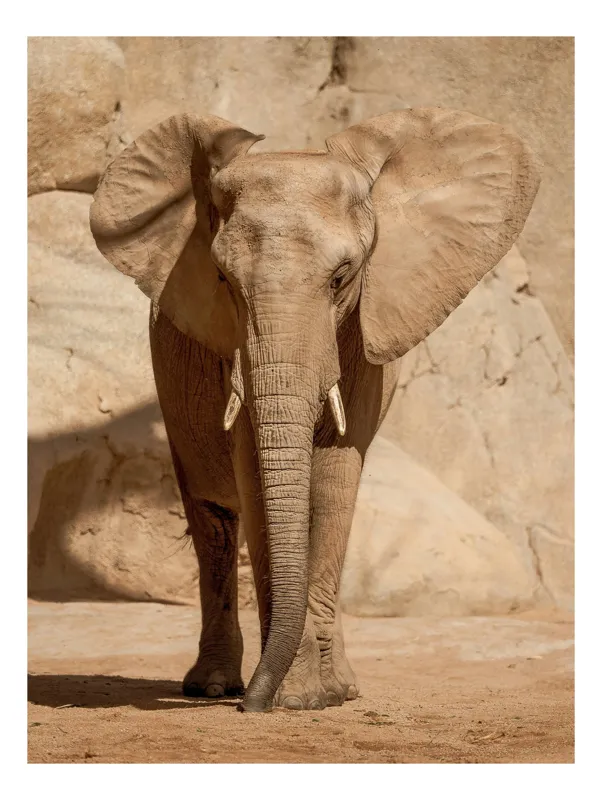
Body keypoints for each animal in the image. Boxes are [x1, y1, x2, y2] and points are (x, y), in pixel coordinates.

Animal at [89, 107, 540, 713]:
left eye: (341, 277)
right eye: (223, 280)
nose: (251, 707)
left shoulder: (364, 339)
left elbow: (334, 478)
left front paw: (317, 697)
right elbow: (256, 479)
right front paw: (290, 696)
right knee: (213, 522)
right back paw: (212, 686)